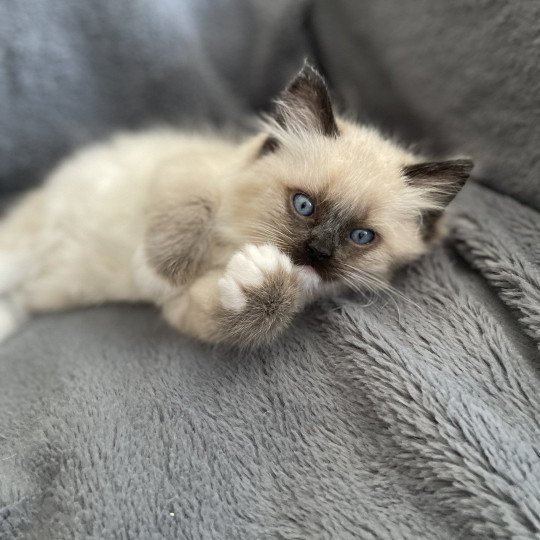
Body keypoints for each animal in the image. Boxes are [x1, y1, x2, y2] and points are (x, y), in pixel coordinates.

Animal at [0, 63, 472, 346]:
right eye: (303, 206)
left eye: (360, 236)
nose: (316, 252)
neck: (235, 241)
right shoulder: (183, 172)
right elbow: (187, 219)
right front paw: (157, 275)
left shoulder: (188, 310)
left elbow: (252, 314)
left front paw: (263, 279)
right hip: (17, 250)